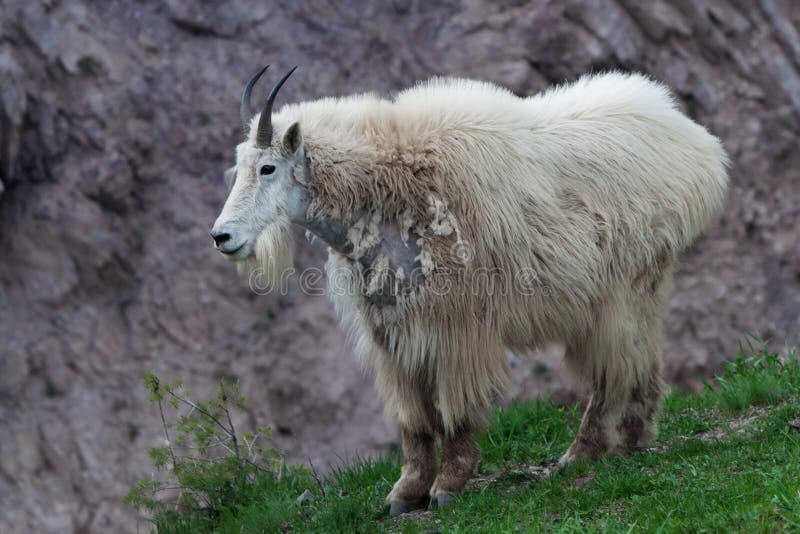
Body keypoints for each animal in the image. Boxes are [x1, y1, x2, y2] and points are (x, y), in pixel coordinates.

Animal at [211, 66, 724, 516]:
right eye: (238, 169)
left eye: (268, 167)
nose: (222, 237)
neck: (382, 191)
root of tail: (696, 143)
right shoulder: (392, 333)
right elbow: (414, 421)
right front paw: (404, 494)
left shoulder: (457, 328)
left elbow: (455, 409)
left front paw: (447, 487)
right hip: (638, 289)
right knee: (643, 357)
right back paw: (633, 440)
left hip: (621, 291)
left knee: (613, 369)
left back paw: (582, 453)